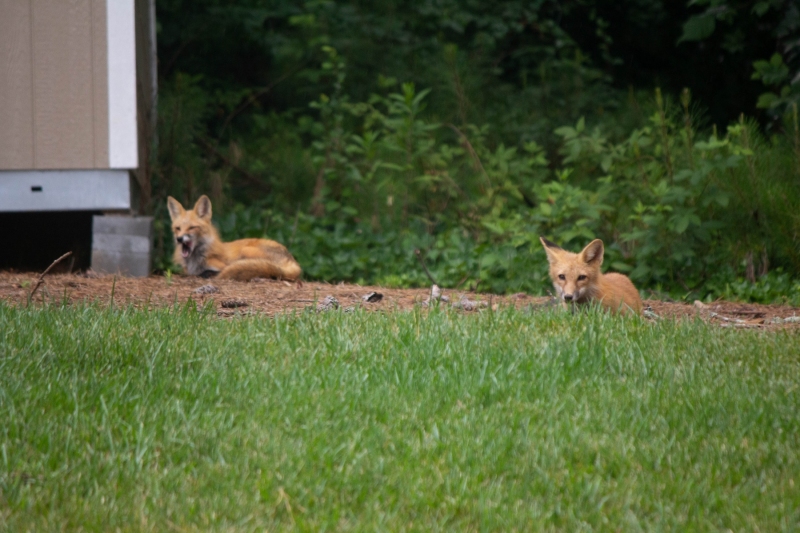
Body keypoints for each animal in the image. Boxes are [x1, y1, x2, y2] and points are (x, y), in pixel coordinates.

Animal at [167, 195, 302, 281]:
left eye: (191, 228)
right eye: (178, 228)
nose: (179, 239)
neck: (195, 261)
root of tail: (293, 261)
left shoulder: (222, 265)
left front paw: (207, 274)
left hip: (247, 250)